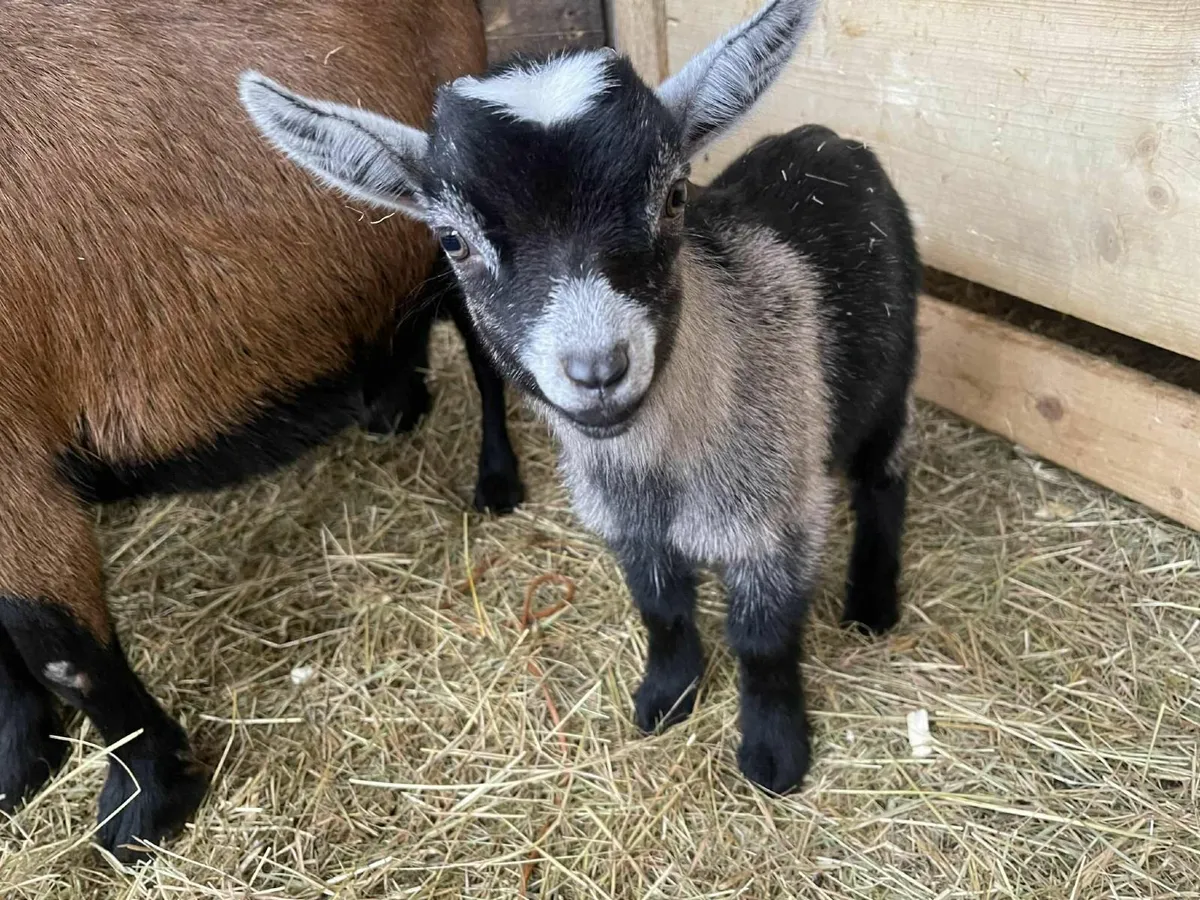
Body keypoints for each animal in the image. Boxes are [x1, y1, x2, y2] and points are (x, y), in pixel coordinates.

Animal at [0, 0, 521, 861]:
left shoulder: (17, 470)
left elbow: (60, 649)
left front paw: (145, 807)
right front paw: (21, 764)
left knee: (483, 358)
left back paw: (497, 483)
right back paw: (392, 410)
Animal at [243, 0, 919, 795]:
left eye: (675, 196)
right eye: (452, 240)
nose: (597, 369)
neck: (661, 469)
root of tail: (830, 138)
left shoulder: (775, 522)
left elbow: (764, 642)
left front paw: (774, 753)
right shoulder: (629, 528)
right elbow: (661, 612)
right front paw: (666, 699)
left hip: (895, 366)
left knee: (886, 474)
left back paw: (872, 602)